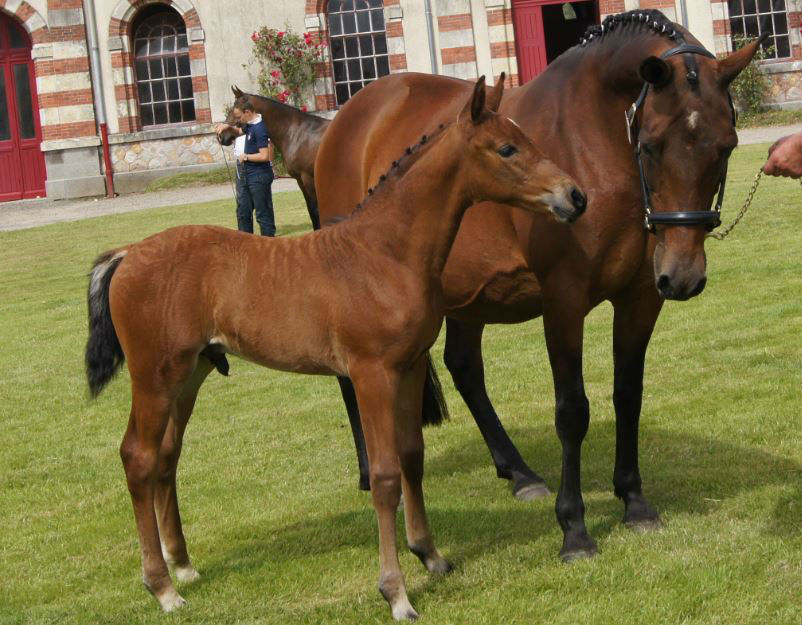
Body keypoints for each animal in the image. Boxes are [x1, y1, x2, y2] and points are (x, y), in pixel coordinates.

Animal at [216, 84, 328, 228]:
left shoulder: (308, 177)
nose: (222, 136)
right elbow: (311, 210)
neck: (298, 133)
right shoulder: (300, 179)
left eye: (234, 111)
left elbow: (315, 210)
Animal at [316, 9, 760, 560]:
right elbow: (572, 410)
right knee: (352, 378)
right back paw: (369, 473)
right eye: (650, 145)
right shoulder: (563, 300)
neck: (593, 136)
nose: (682, 276)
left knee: (465, 368)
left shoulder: (639, 297)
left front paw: (634, 501)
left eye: (727, 146)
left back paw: (519, 472)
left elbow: (628, 394)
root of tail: (353, 112)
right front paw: (574, 528)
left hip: (464, 294)